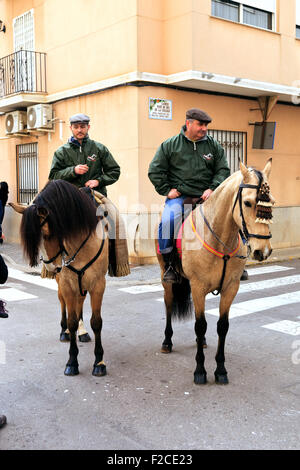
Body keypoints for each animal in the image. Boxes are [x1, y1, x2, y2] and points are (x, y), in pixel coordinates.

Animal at [11, 178, 110, 376]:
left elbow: (96, 322)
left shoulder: (98, 284)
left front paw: (99, 362)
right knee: (63, 303)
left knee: (80, 303)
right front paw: (72, 361)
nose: (51, 266)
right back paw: (65, 332)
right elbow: (71, 321)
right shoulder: (67, 284)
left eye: (48, 234)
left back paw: (82, 332)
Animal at [157, 160, 274, 384]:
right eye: (247, 203)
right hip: (167, 279)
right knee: (168, 305)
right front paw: (200, 370)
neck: (219, 237)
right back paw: (167, 341)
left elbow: (222, 326)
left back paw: (200, 342)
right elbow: (200, 324)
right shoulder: (197, 286)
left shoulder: (230, 288)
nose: (262, 251)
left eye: (271, 203)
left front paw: (220, 370)